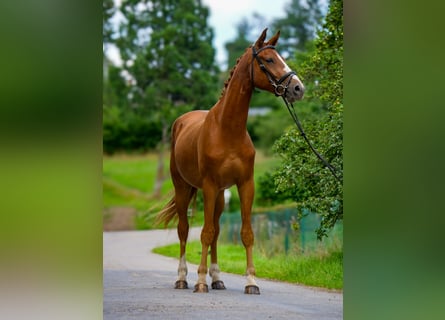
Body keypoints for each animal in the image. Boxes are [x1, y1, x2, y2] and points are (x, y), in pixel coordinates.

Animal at [157, 28, 306, 294]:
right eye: (268, 60)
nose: (298, 88)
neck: (227, 130)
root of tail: (180, 121)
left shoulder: (245, 184)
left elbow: (245, 233)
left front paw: (251, 281)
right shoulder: (208, 186)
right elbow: (204, 233)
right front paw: (201, 282)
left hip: (219, 196)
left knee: (216, 230)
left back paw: (217, 279)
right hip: (184, 188)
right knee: (184, 230)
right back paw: (183, 278)